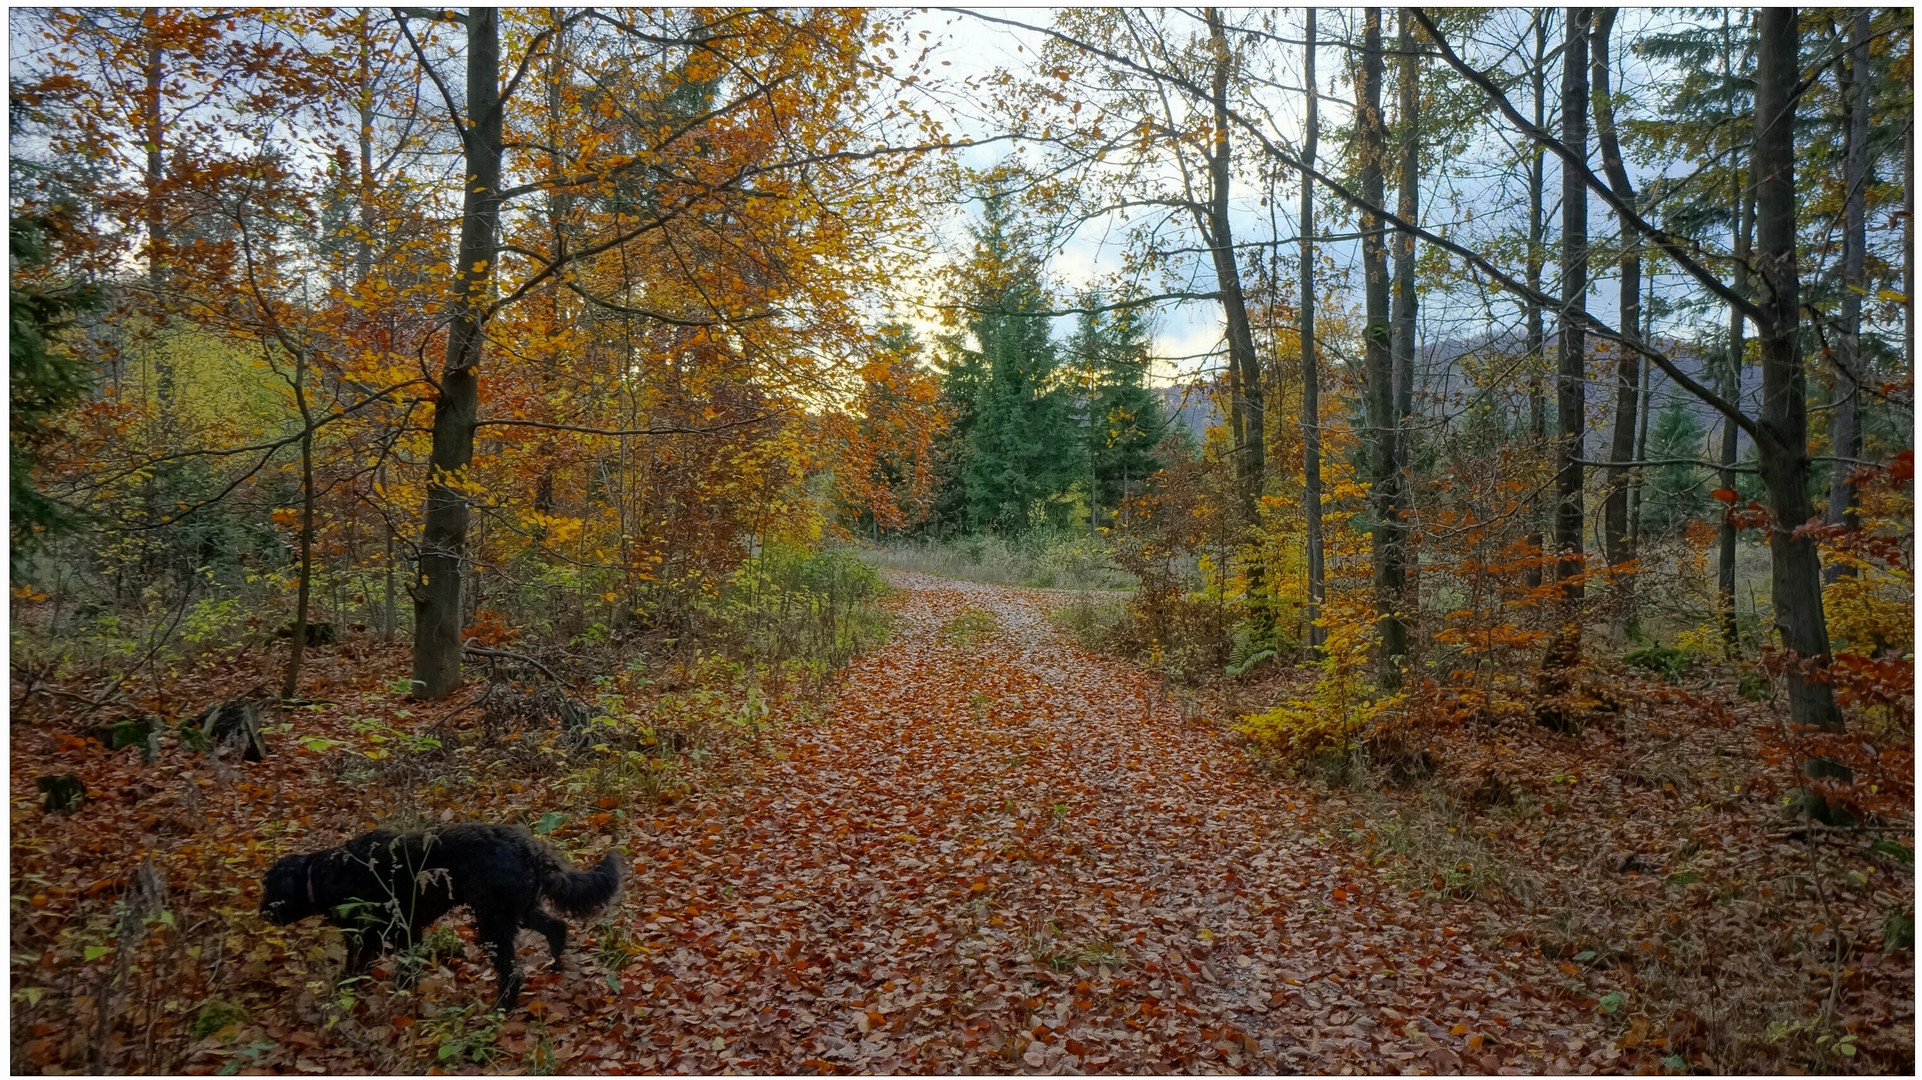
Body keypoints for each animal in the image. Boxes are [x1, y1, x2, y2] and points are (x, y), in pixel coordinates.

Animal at [259, 818, 622, 1006]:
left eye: (269, 887)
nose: (262, 912)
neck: (327, 875)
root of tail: (530, 847)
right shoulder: (400, 932)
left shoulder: (382, 934)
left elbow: (367, 969)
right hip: (517, 909)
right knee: (556, 927)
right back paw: (556, 964)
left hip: (493, 922)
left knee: (512, 974)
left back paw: (501, 1008)